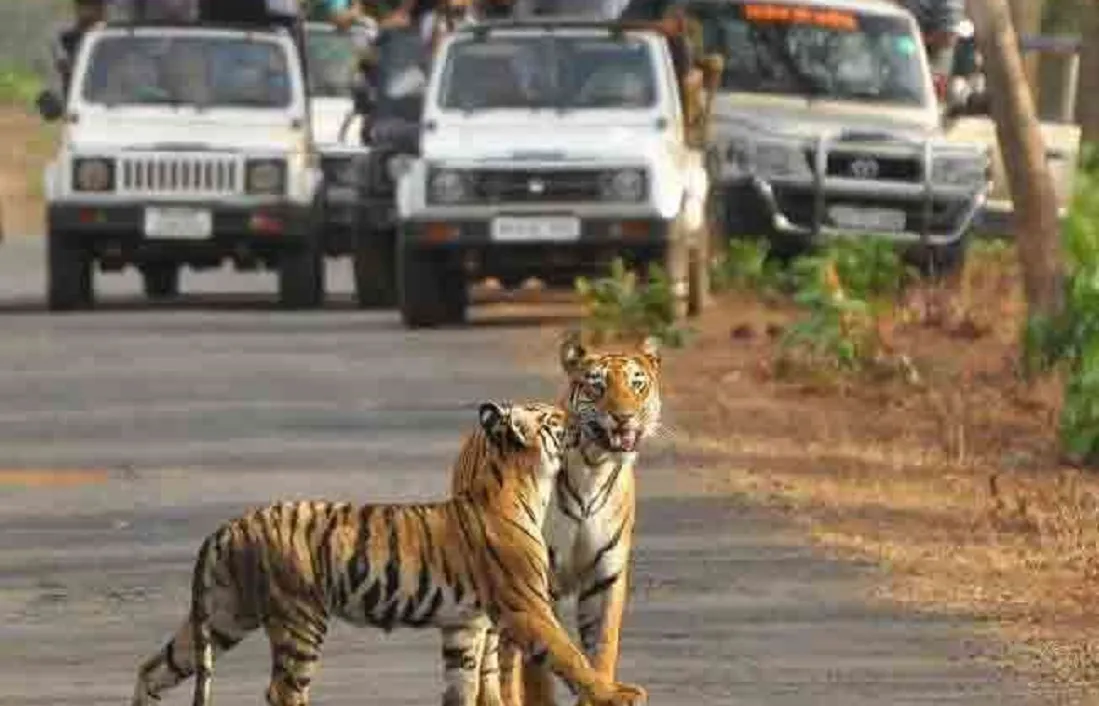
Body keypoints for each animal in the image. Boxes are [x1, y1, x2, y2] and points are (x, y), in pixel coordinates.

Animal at [128, 398, 646, 703]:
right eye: (555, 418)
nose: (582, 420)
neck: (522, 484)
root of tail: (228, 527)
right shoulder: (527, 607)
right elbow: (570, 655)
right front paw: (615, 694)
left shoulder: (464, 625)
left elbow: (463, 686)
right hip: (299, 618)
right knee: (282, 691)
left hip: (222, 616)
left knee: (155, 667)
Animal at [437, 332, 659, 703]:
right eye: (597, 386)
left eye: (637, 384)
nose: (624, 417)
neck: (594, 467)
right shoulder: (538, 582)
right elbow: (539, 668)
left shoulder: (606, 576)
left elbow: (602, 649)